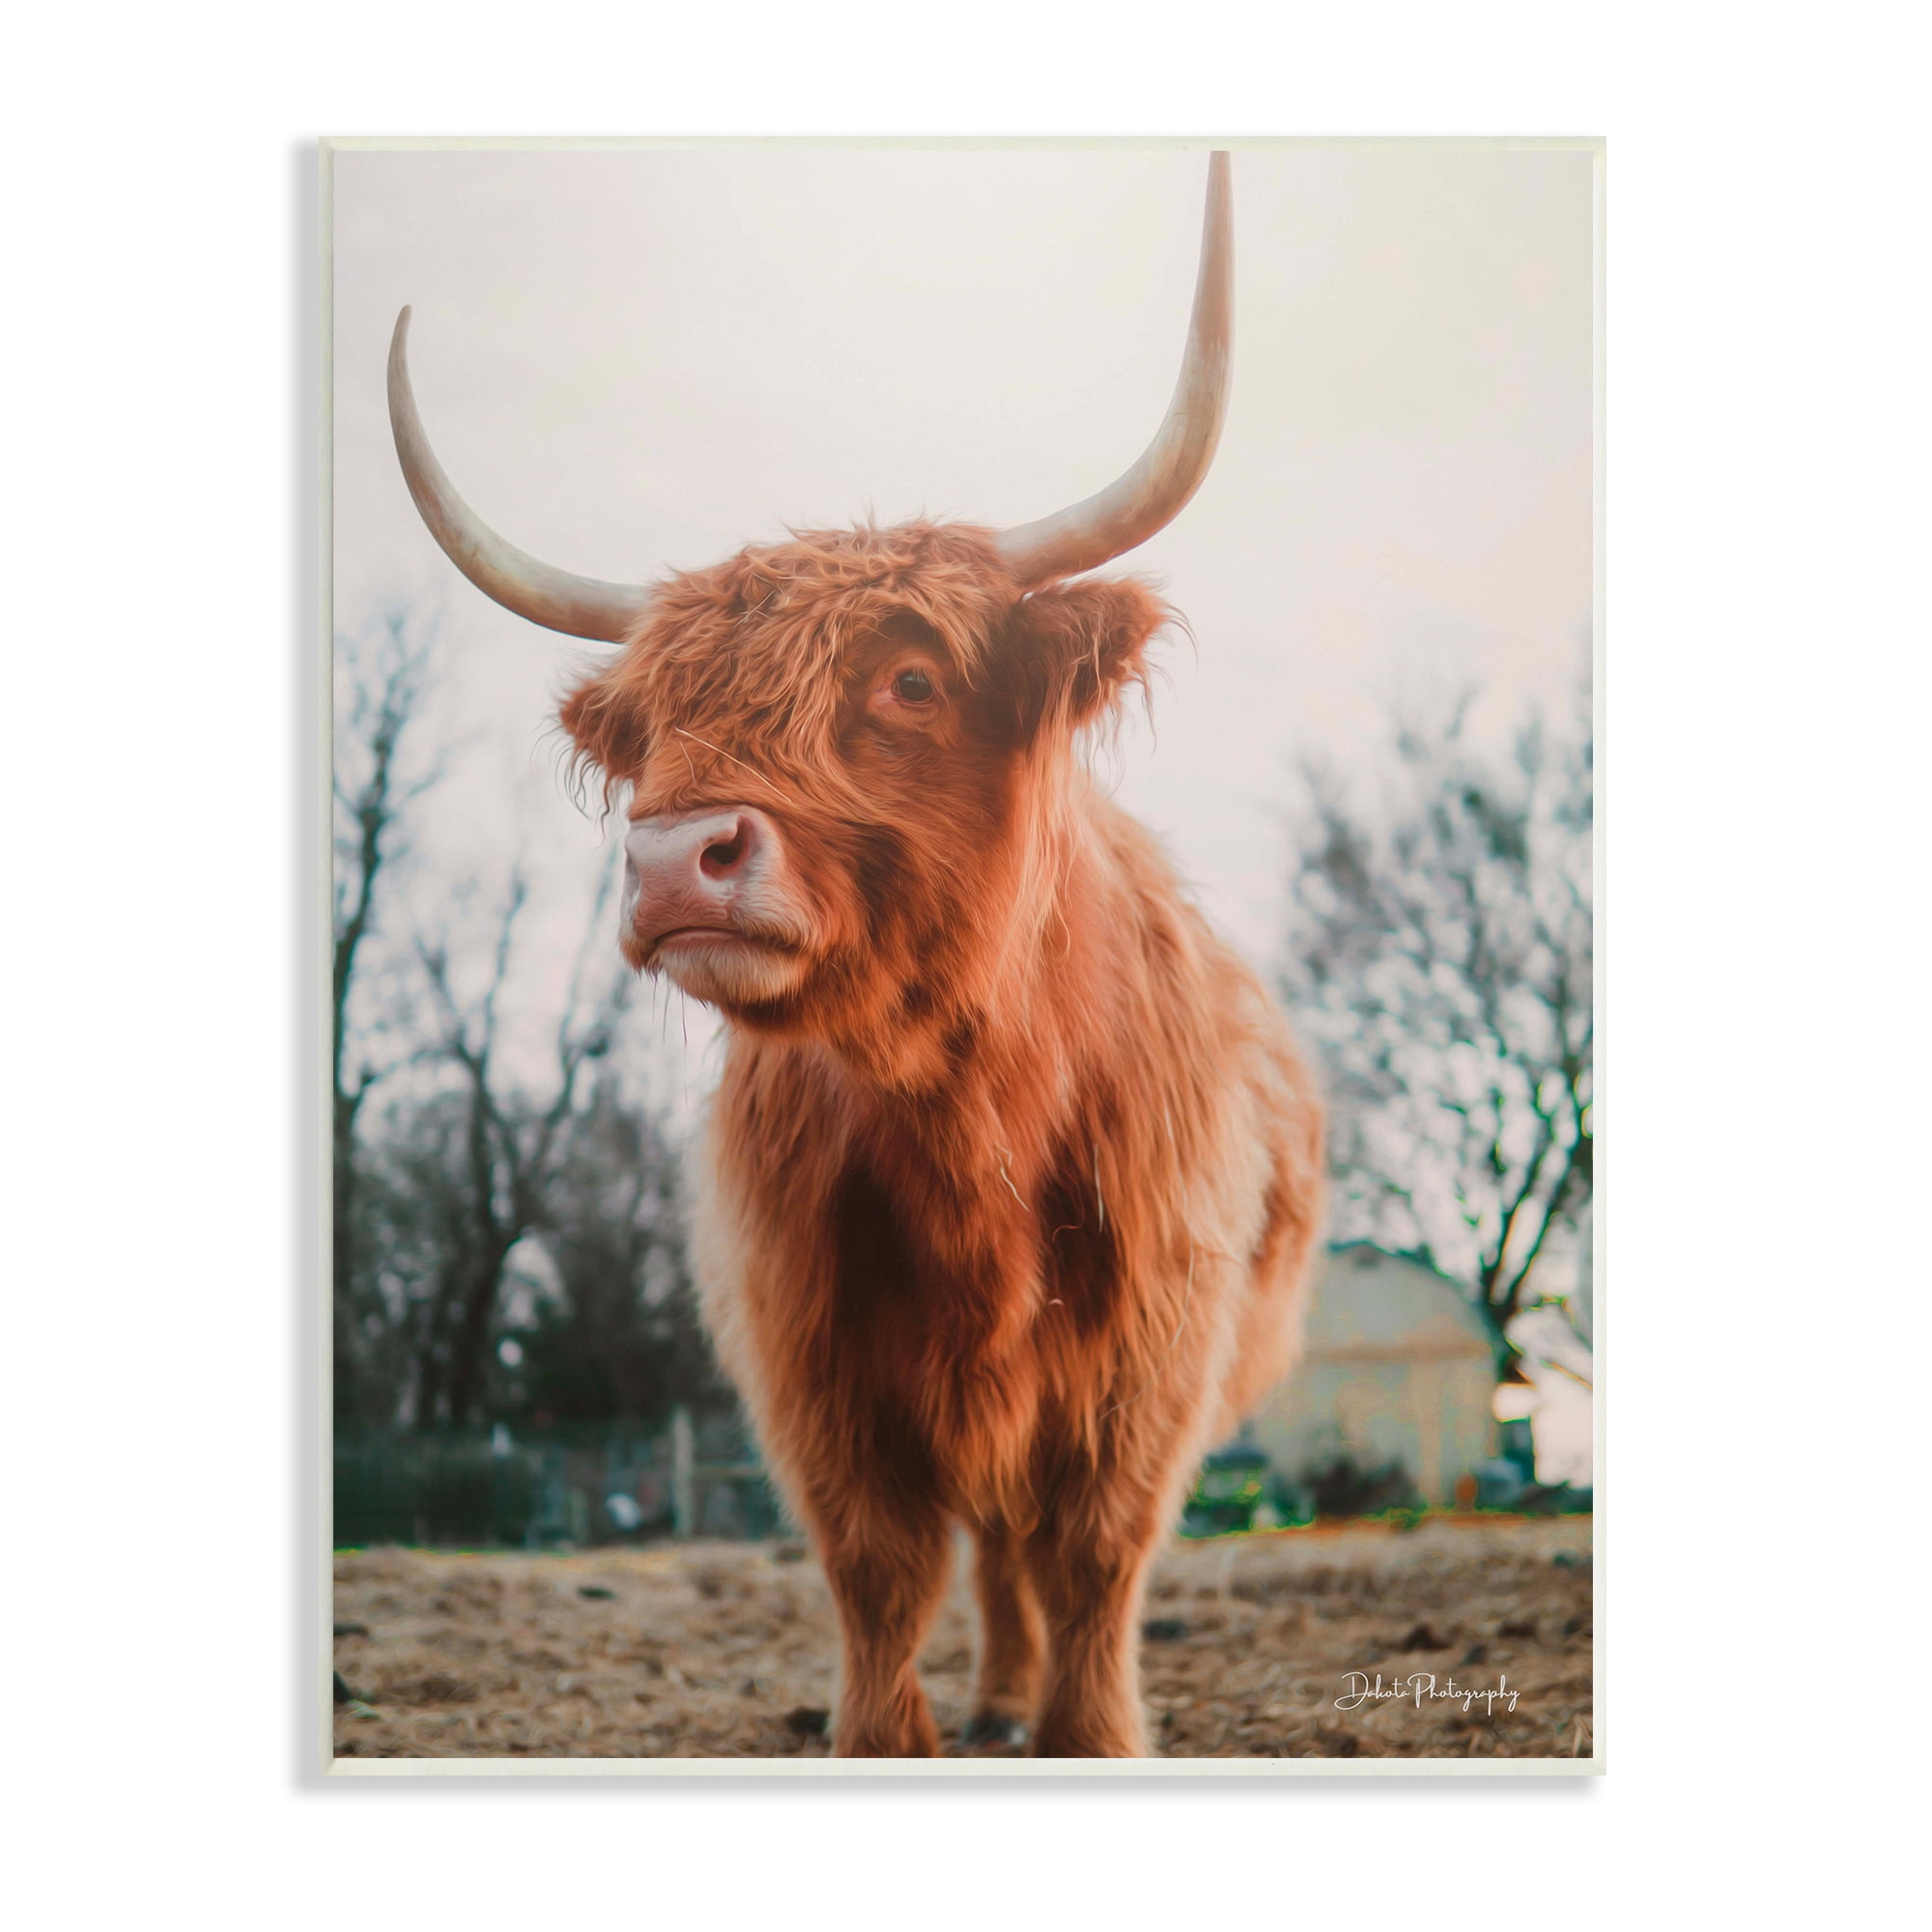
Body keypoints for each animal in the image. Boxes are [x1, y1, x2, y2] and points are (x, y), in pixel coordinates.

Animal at [386, 153, 1324, 1757]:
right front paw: (894, 1737)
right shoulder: (811, 1357)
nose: (671, 857)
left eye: (912, 680)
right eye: (654, 719)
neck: (971, 1125)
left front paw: (1084, 1735)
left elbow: (1094, 1559)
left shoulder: (1148, 1354)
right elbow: (880, 1570)